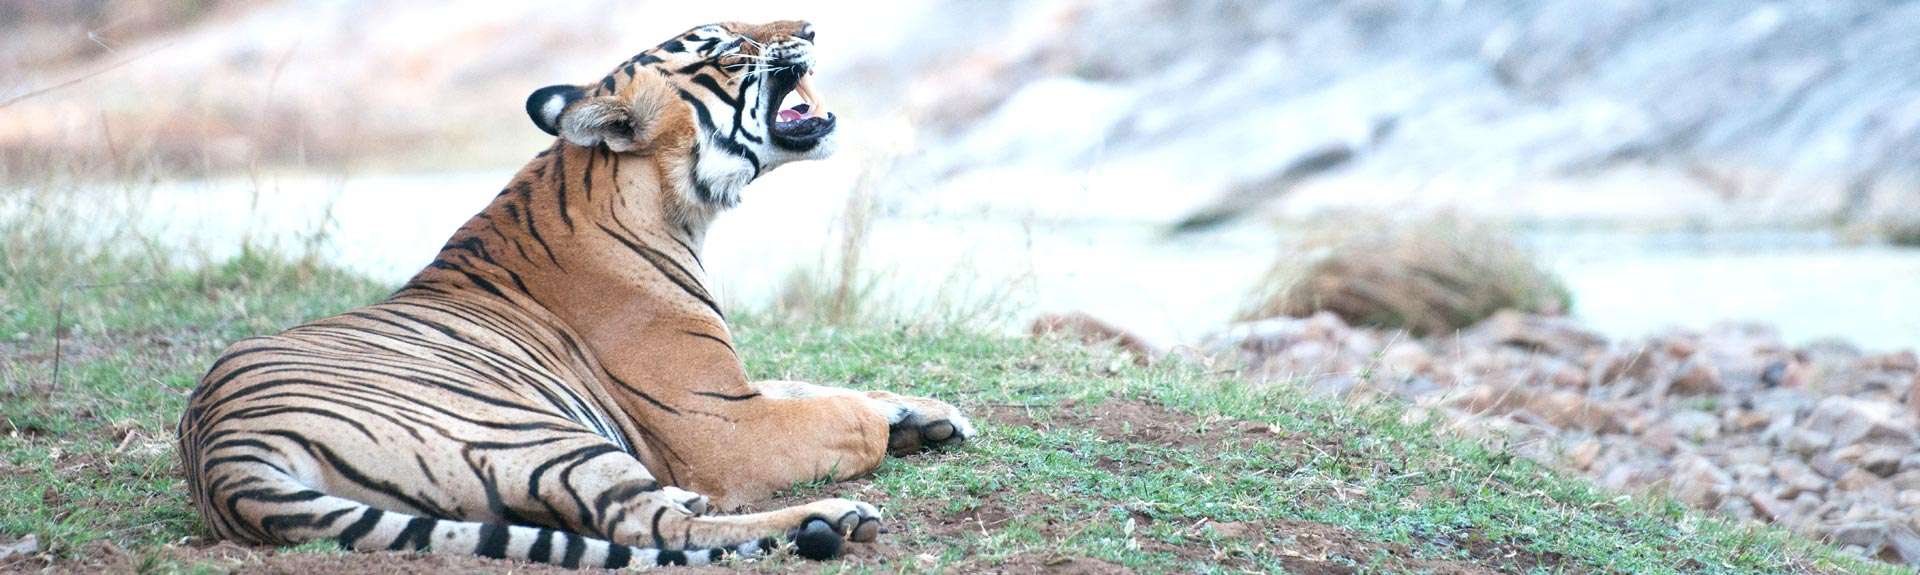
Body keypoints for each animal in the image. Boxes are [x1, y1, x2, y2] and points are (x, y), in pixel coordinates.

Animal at [175, 20, 975, 569]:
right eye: (728, 49)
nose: (809, 28)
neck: (673, 206)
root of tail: (221, 454)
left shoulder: (733, 385)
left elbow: (817, 384)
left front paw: (930, 413)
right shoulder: (719, 422)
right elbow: (844, 417)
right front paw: (891, 426)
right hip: (538, 433)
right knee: (655, 525)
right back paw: (833, 519)